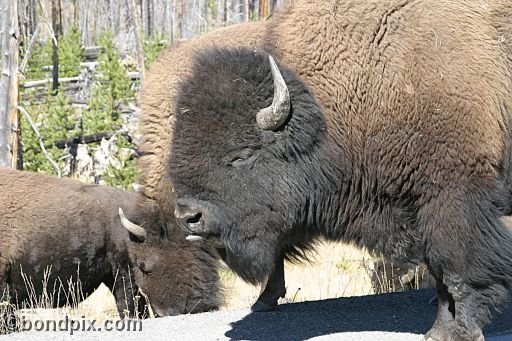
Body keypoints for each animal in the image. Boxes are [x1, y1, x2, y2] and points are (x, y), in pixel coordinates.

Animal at [168, 1, 512, 338]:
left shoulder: (452, 197)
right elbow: (440, 273)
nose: (188, 216)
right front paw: (439, 330)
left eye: (241, 155)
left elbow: (456, 269)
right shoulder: (418, 208)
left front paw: (461, 331)